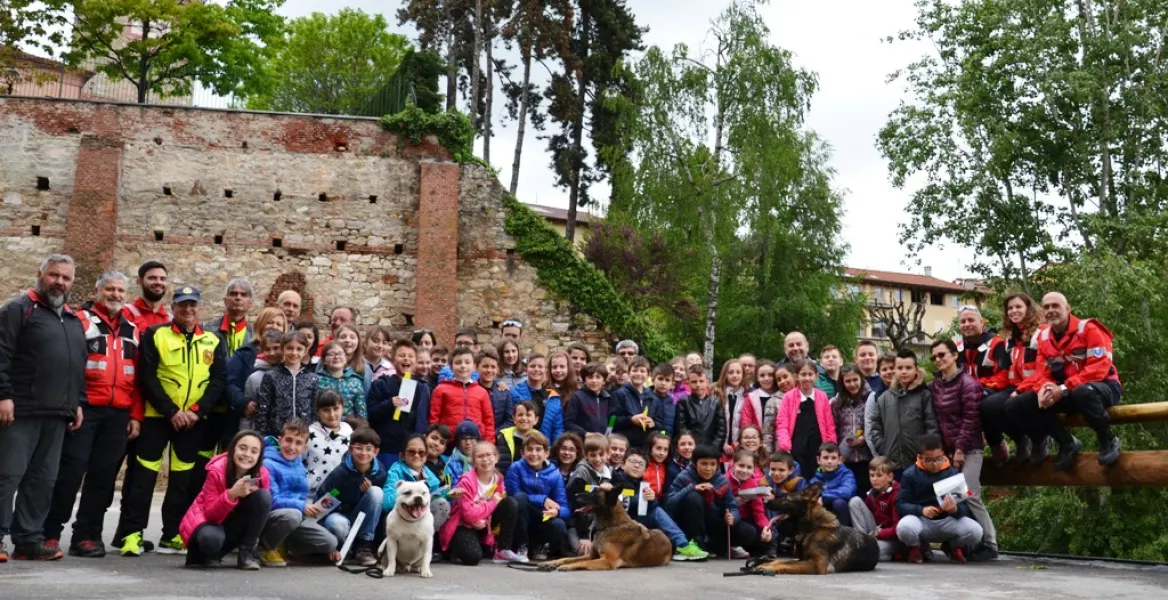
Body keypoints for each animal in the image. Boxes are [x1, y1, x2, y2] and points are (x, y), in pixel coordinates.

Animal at [534, 485, 672, 569]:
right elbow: (567, 558)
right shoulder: (592, 555)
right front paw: (552, 563)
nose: (575, 494)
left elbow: (582, 562)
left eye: (594, 494)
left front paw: (567, 567)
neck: (611, 526)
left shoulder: (607, 561)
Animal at [747, 478, 878, 571]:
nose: (764, 501)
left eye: (786, 499)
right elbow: (781, 561)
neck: (812, 529)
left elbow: (787, 563)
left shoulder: (817, 564)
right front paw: (764, 563)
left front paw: (767, 567)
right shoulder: (802, 559)